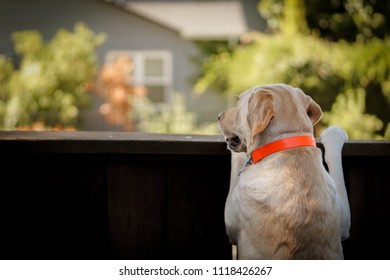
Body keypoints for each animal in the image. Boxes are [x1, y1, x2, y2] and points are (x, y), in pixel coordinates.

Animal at [219, 83, 350, 260]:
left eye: (239, 103)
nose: (219, 116)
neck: (285, 143)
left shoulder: (231, 222)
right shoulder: (344, 221)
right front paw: (334, 135)